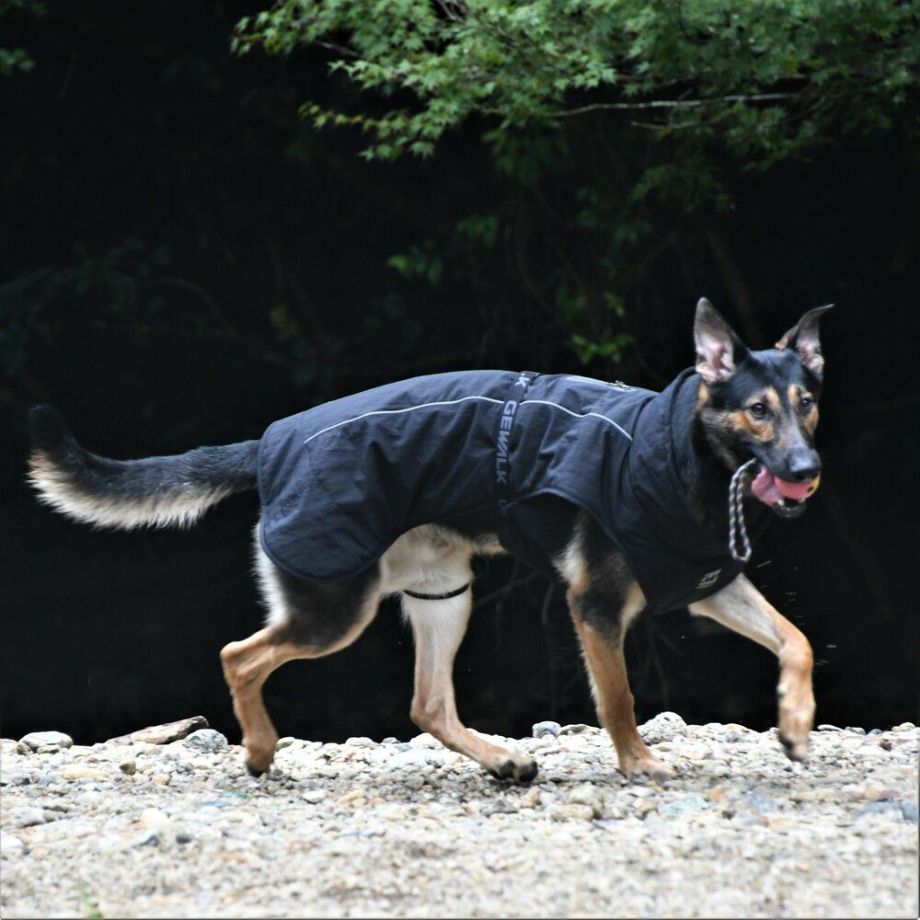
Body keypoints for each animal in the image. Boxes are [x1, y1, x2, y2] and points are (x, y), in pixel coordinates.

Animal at [28, 298, 830, 783]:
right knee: (239, 655)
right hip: (335, 611)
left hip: (444, 595)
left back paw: (500, 762)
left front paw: (794, 726)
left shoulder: (712, 585)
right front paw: (637, 762)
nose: (807, 472)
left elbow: (796, 640)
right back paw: (258, 749)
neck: (687, 456)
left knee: (427, 704)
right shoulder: (597, 608)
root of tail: (267, 443)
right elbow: (621, 698)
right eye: (758, 410)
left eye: (806, 405)